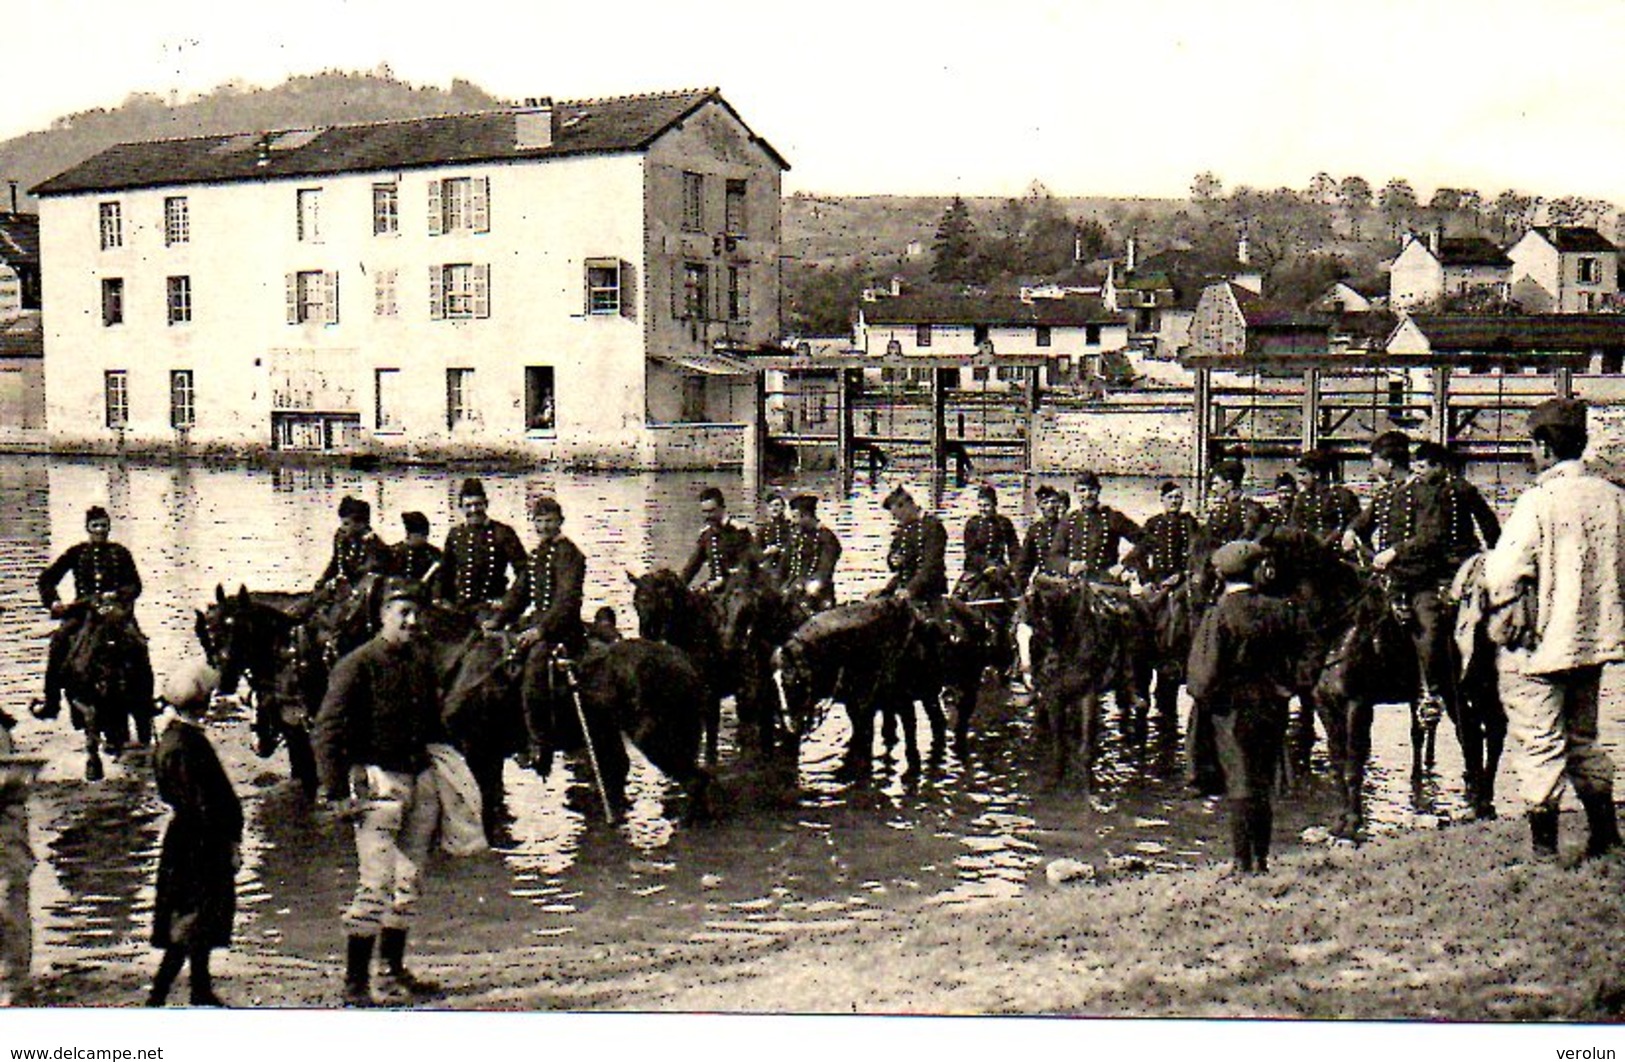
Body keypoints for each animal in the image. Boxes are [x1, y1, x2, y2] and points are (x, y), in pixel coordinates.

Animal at [59, 604, 156, 785]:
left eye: (129, 647)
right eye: (96, 648)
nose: (114, 683)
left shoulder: (136, 701)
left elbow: (140, 728)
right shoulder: (84, 700)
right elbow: (93, 725)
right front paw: (93, 768)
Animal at [1027, 578, 1157, 795]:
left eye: (1038, 630)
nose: (1032, 672)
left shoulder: (1089, 694)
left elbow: (1086, 746)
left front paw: (1088, 788)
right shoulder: (1055, 697)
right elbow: (1059, 743)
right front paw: (1054, 780)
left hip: (1142, 679)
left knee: (1141, 711)